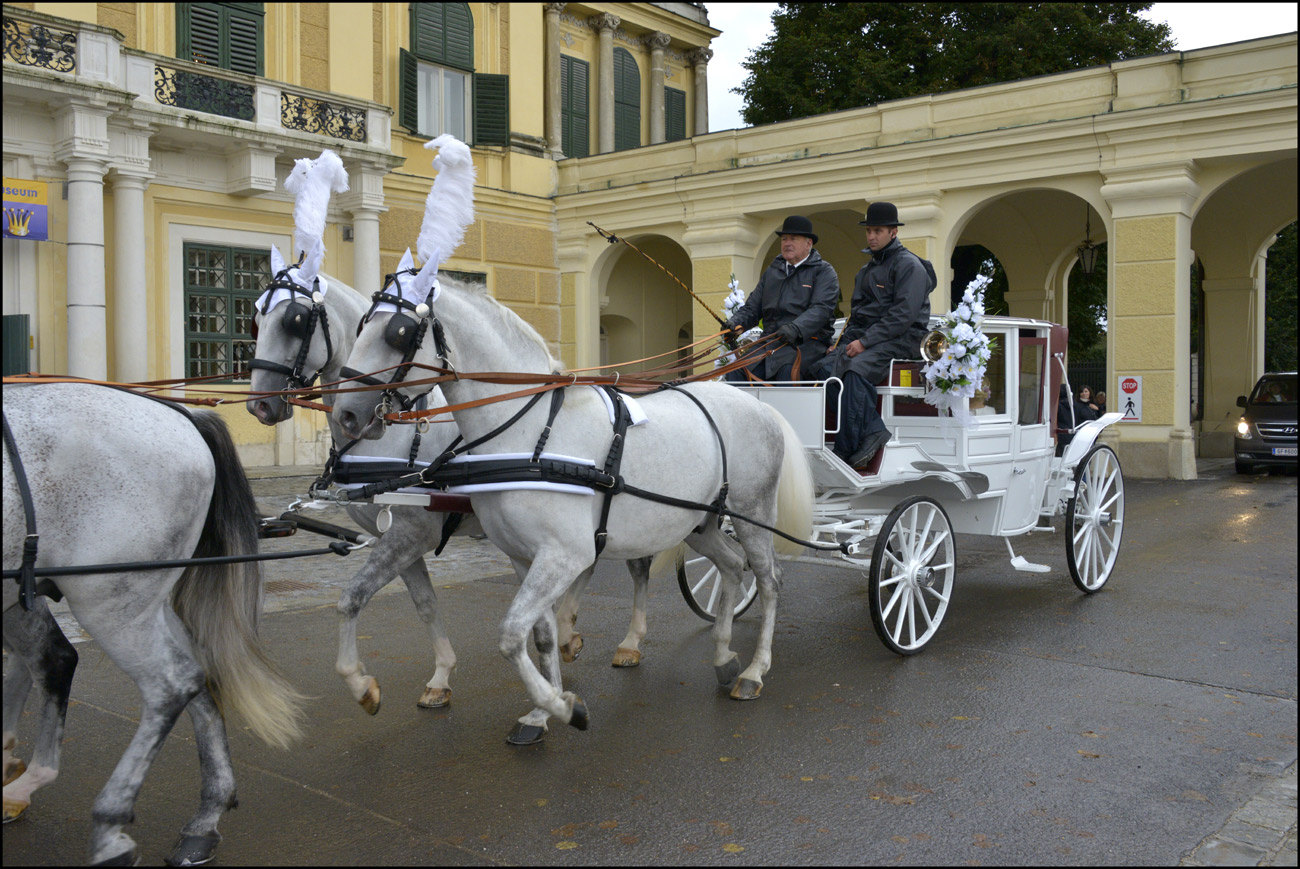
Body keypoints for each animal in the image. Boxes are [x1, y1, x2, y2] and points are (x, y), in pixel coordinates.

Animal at [2, 381, 305, 867]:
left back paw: (107, 824)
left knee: (166, 684)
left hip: (111, 600)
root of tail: (180, 413)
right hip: (141, 600)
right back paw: (204, 821)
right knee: (196, 675)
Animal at [246, 255, 658, 724]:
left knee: (638, 567)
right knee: (588, 564)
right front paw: (441, 677)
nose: (260, 404)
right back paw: (570, 634)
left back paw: (630, 642)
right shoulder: (395, 538)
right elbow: (424, 604)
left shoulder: (412, 533)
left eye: (294, 321)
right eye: (257, 319)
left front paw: (363, 683)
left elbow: (352, 598)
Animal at [331, 261, 814, 743]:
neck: (527, 433)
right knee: (732, 565)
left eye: (397, 332)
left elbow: (510, 633)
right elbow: (538, 634)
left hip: (751, 513)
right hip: (699, 522)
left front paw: (563, 707)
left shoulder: (562, 554)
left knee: (769, 579)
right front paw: (539, 713)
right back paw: (723, 657)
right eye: (361, 324)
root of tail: (760, 406)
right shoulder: (523, 556)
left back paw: (753, 671)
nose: (346, 415)